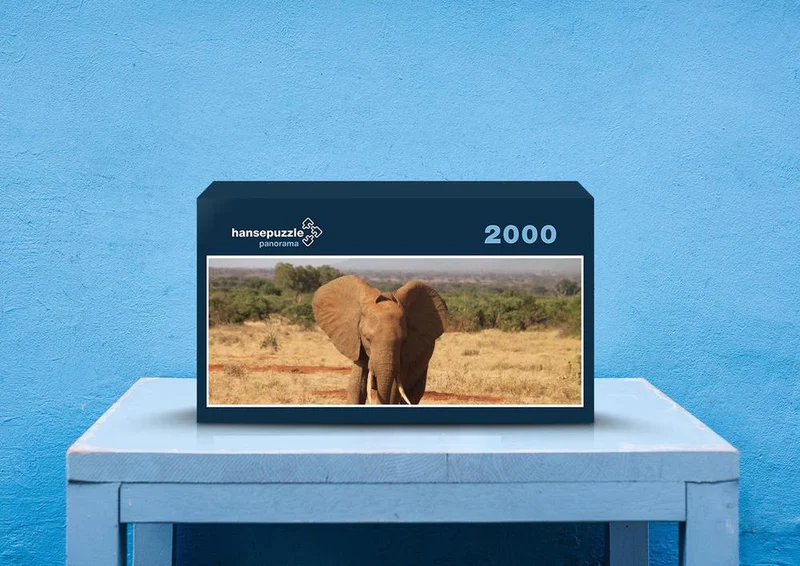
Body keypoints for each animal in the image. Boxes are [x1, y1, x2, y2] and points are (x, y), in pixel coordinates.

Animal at [312, 275, 448, 405]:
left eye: (403, 340)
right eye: (366, 338)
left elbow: (394, 390)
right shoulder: (357, 343)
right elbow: (356, 386)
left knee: (413, 394)